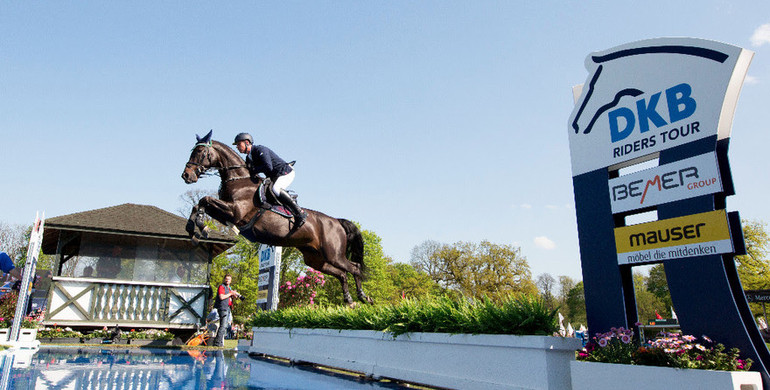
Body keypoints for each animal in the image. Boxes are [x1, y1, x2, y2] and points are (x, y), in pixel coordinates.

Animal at [181, 133, 372, 306]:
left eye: (199, 152)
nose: (186, 176)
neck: (239, 181)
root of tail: (337, 221)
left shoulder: (234, 211)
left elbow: (204, 199)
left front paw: (201, 227)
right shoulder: (227, 213)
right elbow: (199, 204)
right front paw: (194, 230)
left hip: (334, 255)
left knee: (354, 267)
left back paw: (364, 297)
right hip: (316, 259)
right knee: (342, 274)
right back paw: (349, 300)